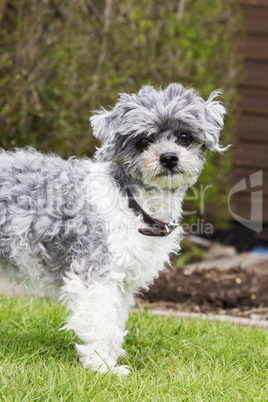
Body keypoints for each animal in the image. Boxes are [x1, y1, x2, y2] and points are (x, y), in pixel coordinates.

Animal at [0, 83, 226, 376]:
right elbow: (103, 323)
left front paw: (112, 356)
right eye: (142, 141)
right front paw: (103, 367)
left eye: (184, 136)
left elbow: (116, 321)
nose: (169, 158)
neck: (132, 202)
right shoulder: (96, 273)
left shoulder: (123, 280)